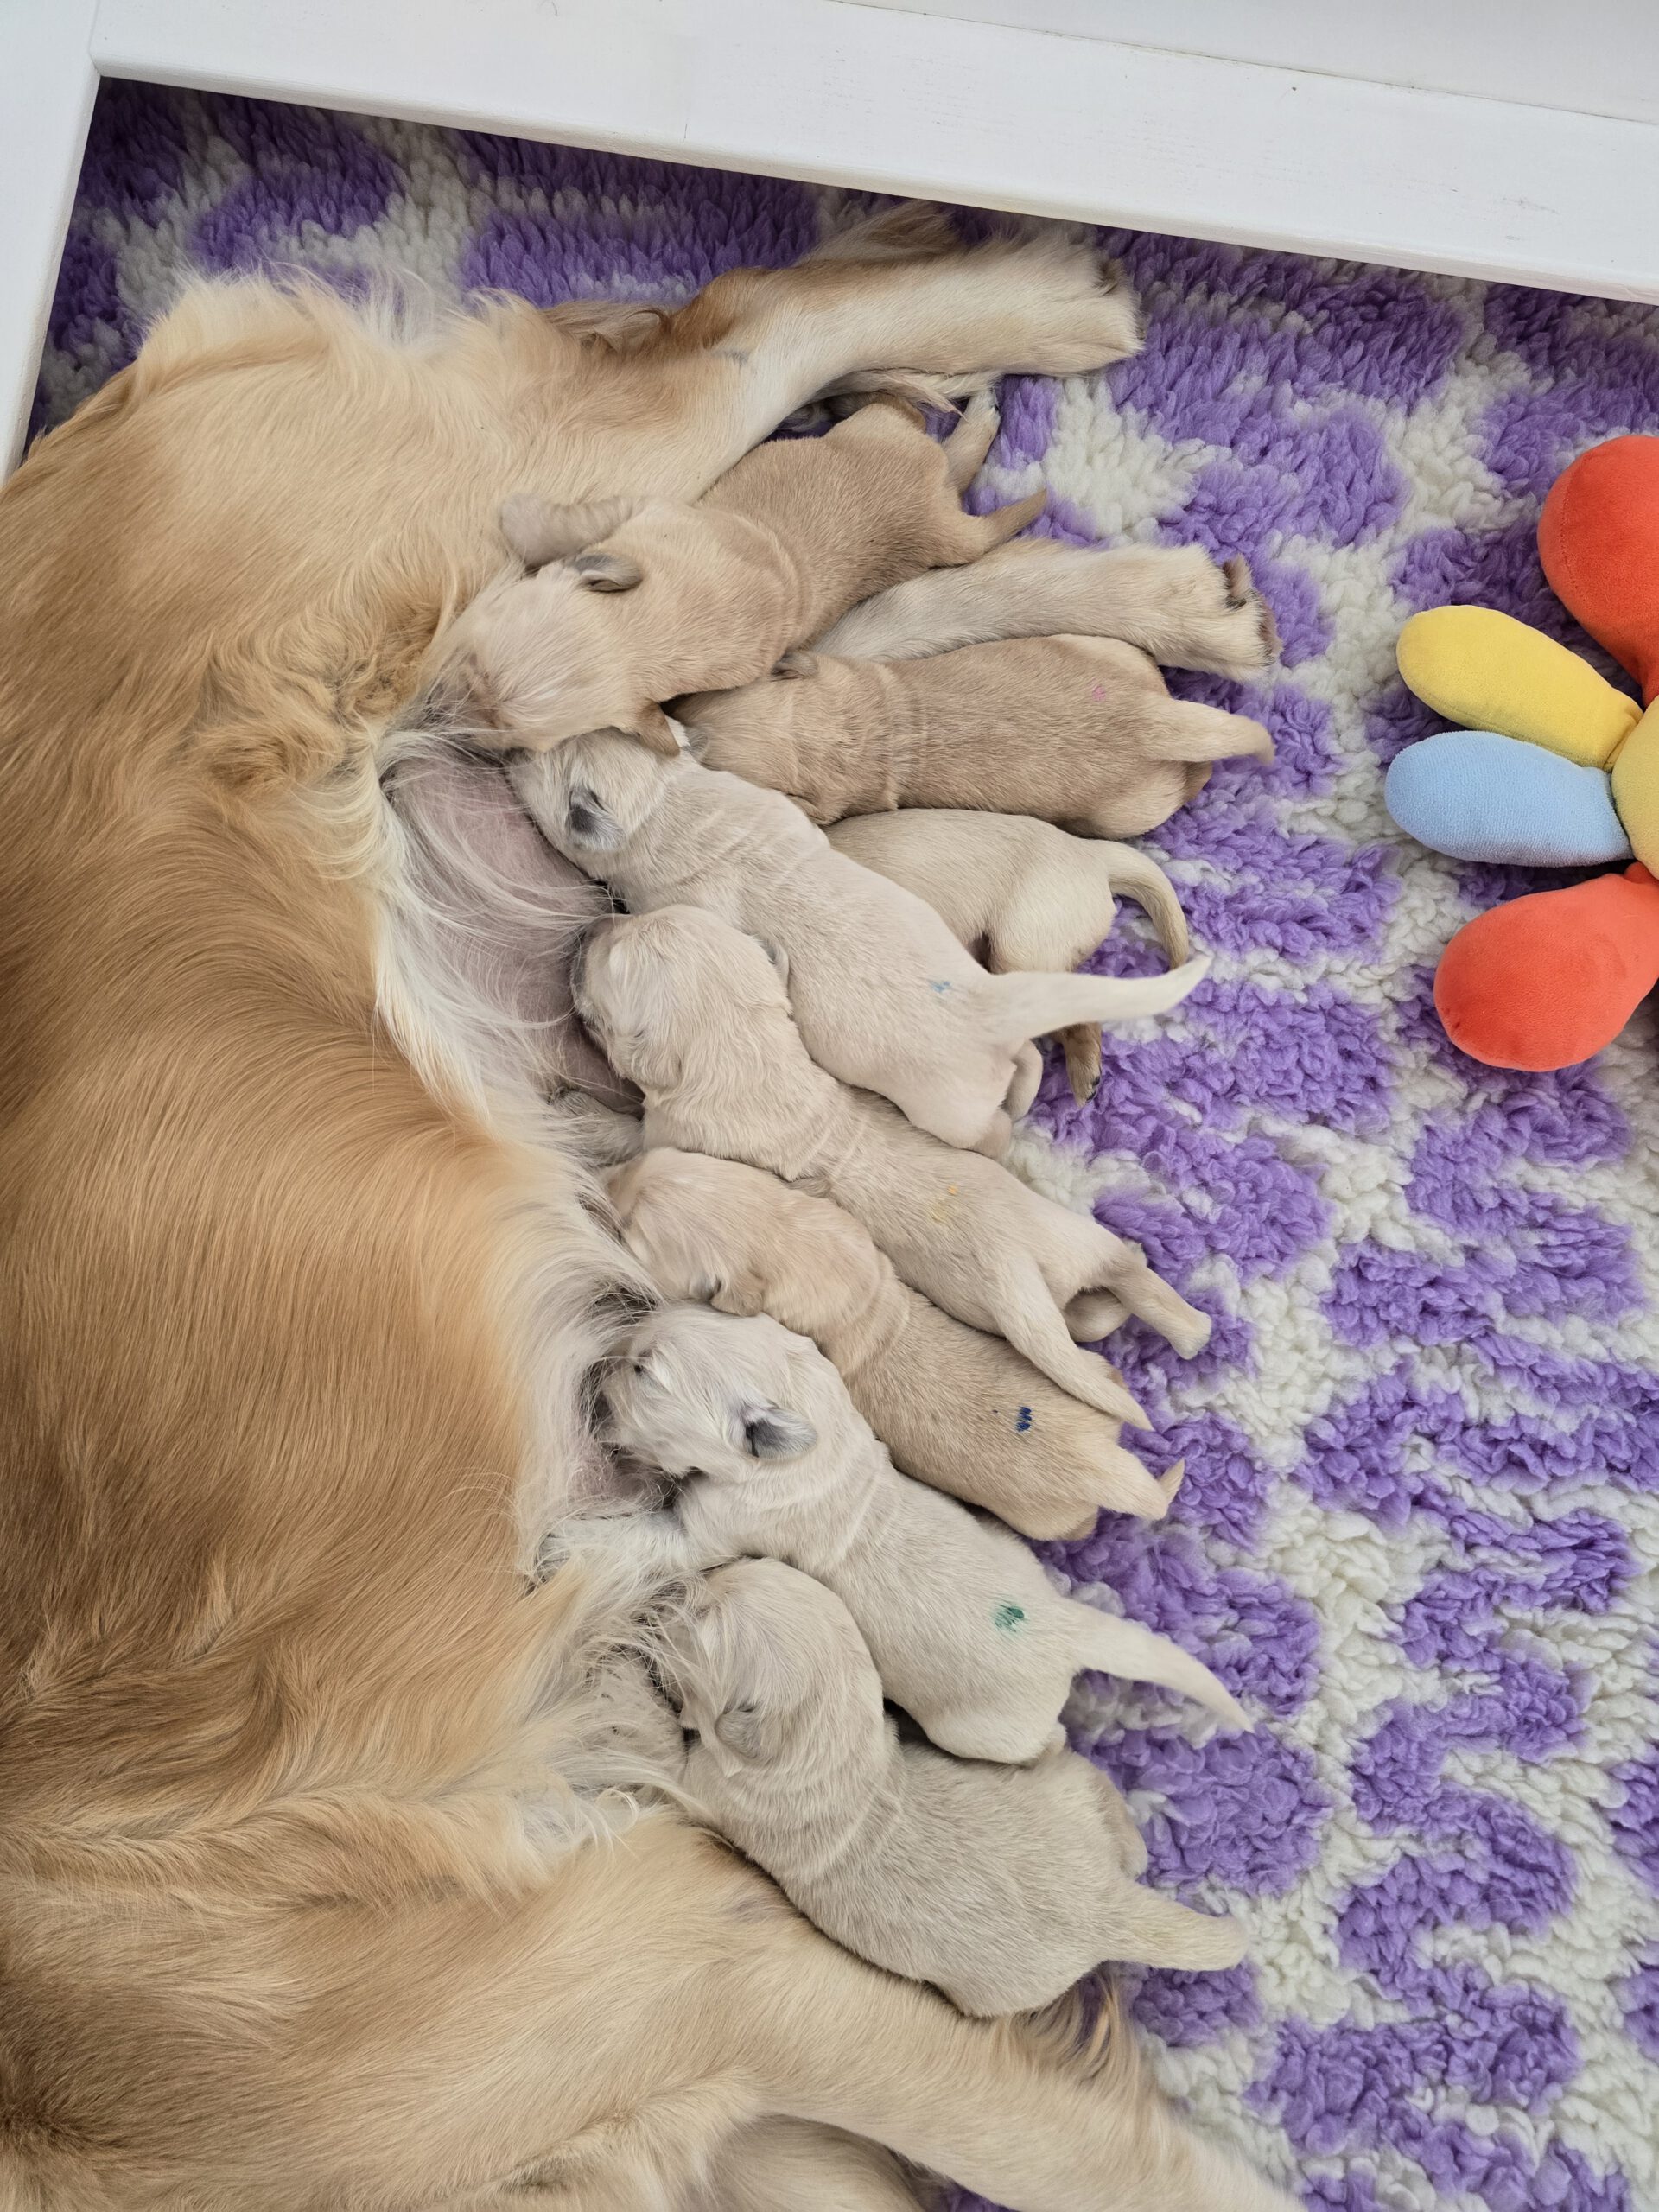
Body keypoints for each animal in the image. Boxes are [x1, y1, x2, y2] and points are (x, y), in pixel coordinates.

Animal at [432, 391, 1043, 757]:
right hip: (927, 496)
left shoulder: (644, 513)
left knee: (902, 410)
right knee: (948, 453)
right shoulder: (645, 511)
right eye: (471, 665)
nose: (440, 713)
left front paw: (516, 516)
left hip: (881, 435)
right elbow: (575, 530)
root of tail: (937, 507)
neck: (649, 630)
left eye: (508, 737)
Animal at [575, 905, 1211, 1426]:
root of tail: (1015, 1271)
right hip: (1067, 1242)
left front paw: (585, 1112)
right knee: (1124, 1274)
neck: (745, 1052)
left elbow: (634, 1134)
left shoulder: (675, 1135)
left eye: (611, 960)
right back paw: (1192, 1331)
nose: (591, 925)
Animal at [595, 1302, 1251, 1758]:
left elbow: (652, 1539)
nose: (601, 1361)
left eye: (643, 1371)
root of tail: (1068, 1629)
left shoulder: (715, 1529)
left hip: (984, 1729)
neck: (815, 1446)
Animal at [655, 1559, 1248, 2014]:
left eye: (704, 1620)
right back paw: (1137, 1848)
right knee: (1098, 1790)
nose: (683, 1579)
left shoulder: (708, 1787)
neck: (836, 1749)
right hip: (1063, 1788)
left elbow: (676, 1766)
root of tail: (1109, 1903)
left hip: (1001, 1989)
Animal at [680, 633, 1275, 833]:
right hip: (1116, 653)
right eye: (692, 698)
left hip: (1126, 814)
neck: (846, 730)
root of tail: (1151, 718)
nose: (672, 719)